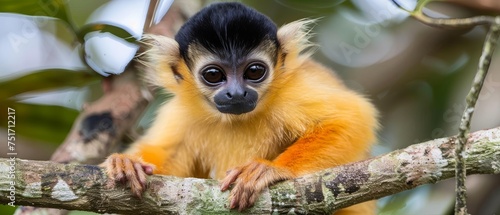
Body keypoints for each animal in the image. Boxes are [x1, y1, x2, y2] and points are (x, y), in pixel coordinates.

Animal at [102, 1, 378, 213]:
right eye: (213, 75)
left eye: (254, 71)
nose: (236, 93)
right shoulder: (182, 111)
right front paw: (130, 163)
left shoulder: (291, 91)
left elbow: (351, 117)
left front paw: (272, 169)